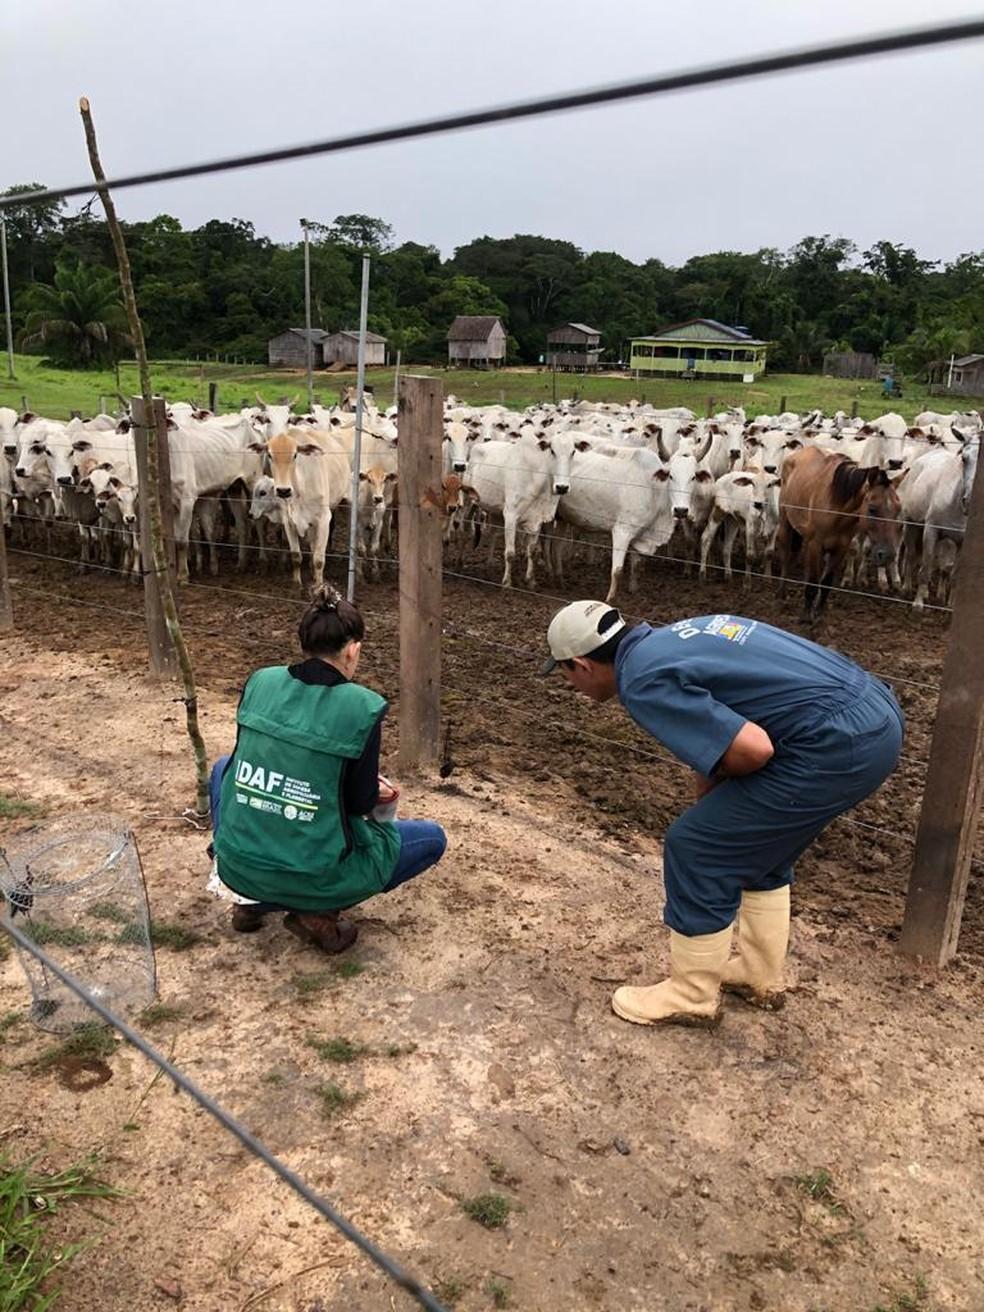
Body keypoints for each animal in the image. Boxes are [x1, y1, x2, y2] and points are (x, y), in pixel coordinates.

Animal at [781, 446, 907, 624]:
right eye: (872, 509)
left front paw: (819, 613)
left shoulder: (840, 548)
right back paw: (782, 592)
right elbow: (812, 582)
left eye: (898, 509)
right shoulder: (814, 545)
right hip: (785, 523)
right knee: (786, 554)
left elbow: (826, 582)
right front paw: (806, 617)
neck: (836, 508)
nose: (888, 555)